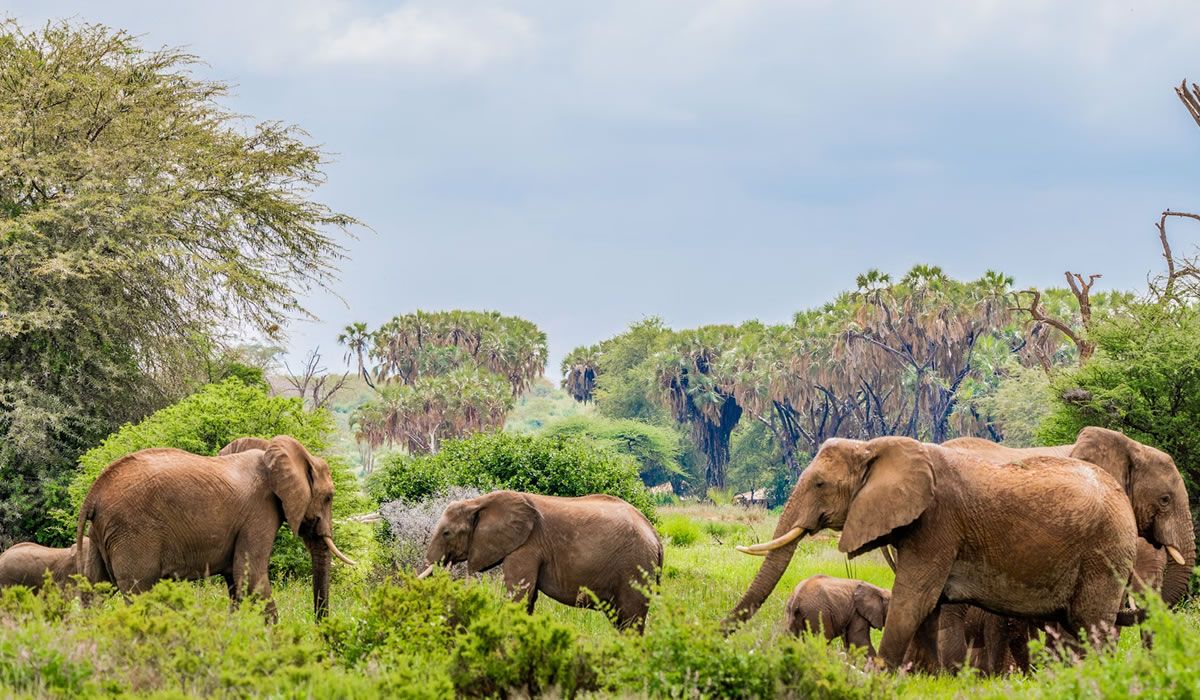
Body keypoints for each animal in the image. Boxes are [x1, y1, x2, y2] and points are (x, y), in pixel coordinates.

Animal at [75, 435, 356, 618]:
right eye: (329, 497)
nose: (320, 630)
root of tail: (93, 494)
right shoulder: (259, 513)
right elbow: (250, 578)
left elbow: (236, 583)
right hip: (132, 532)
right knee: (139, 593)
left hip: (101, 535)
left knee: (95, 592)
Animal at [418, 490, 663, 632]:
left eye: (446, 533)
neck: (478, 502)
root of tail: (655, 534)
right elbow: (528, 598)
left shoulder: (526, 546)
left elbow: (518, 596)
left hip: (635, 566)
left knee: (630, 620)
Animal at [725, 436, 1138, 671]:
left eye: (820, 484)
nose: (717, 634)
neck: (877, 447)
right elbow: (929, 606)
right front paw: (927, 679)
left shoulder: (938, 523)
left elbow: (914, 599)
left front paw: (880, 677)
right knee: (1069, 628)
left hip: (1105, 553)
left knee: (1093, 625)